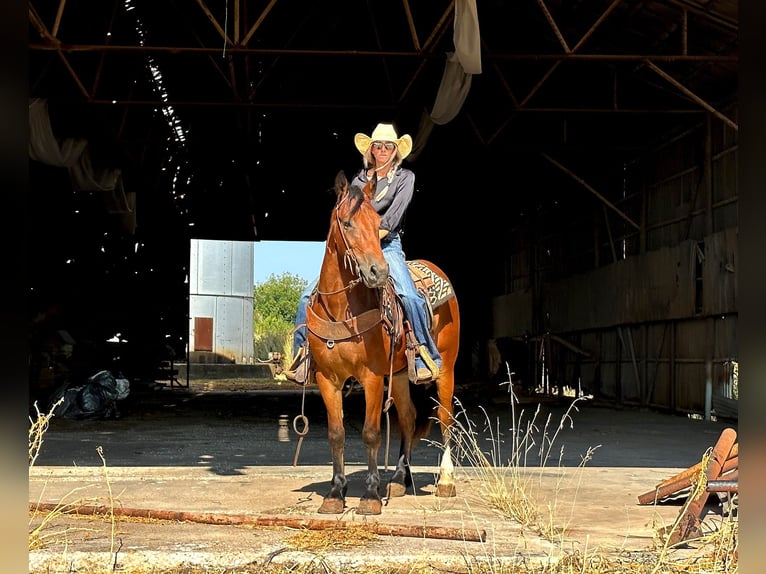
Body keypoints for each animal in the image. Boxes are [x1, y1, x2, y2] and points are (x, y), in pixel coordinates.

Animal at [304, 171, 462, 516]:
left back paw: (445, 482)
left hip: (446, 367)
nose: (378, 271)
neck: (342, 312)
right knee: (408, 418)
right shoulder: (327, 379)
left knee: (445, 418)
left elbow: (371, 433)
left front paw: (370, 495)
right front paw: (335, 493)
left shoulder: (373, 377)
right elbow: (336, 434)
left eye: (378, 222)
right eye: (347, 223)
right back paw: (400, 479)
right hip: (401, 374)